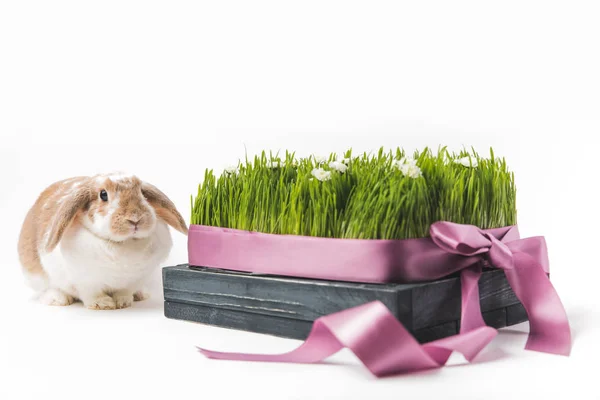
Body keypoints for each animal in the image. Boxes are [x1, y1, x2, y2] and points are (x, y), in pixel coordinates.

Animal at [17, 172, 186, 310]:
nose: (135, 218)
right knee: (48, 288)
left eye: (142, 193)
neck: (123, 244)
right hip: (36, 276)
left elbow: (125, 291)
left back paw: (141, 295)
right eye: (103, 195)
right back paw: (58, 299)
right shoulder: (85, 282)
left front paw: (123, 302)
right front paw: (103, 304)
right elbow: (91, 294)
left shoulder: (134, 280)